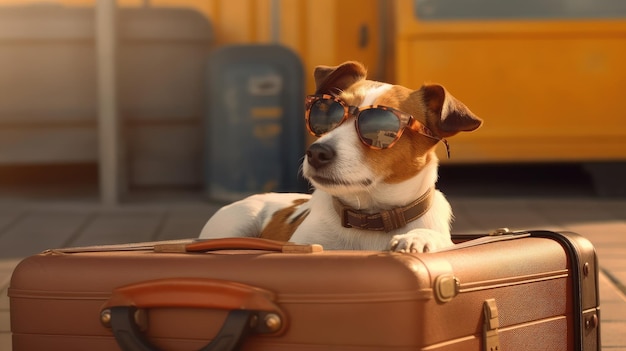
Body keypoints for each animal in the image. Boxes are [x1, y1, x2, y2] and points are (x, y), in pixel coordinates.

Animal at [197, 61, 480, 253]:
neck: (371, 220)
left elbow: (438, 239)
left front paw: (418, 238)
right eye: (325, 113)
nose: (316, 153)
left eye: (380, 126)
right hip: (233, 224)